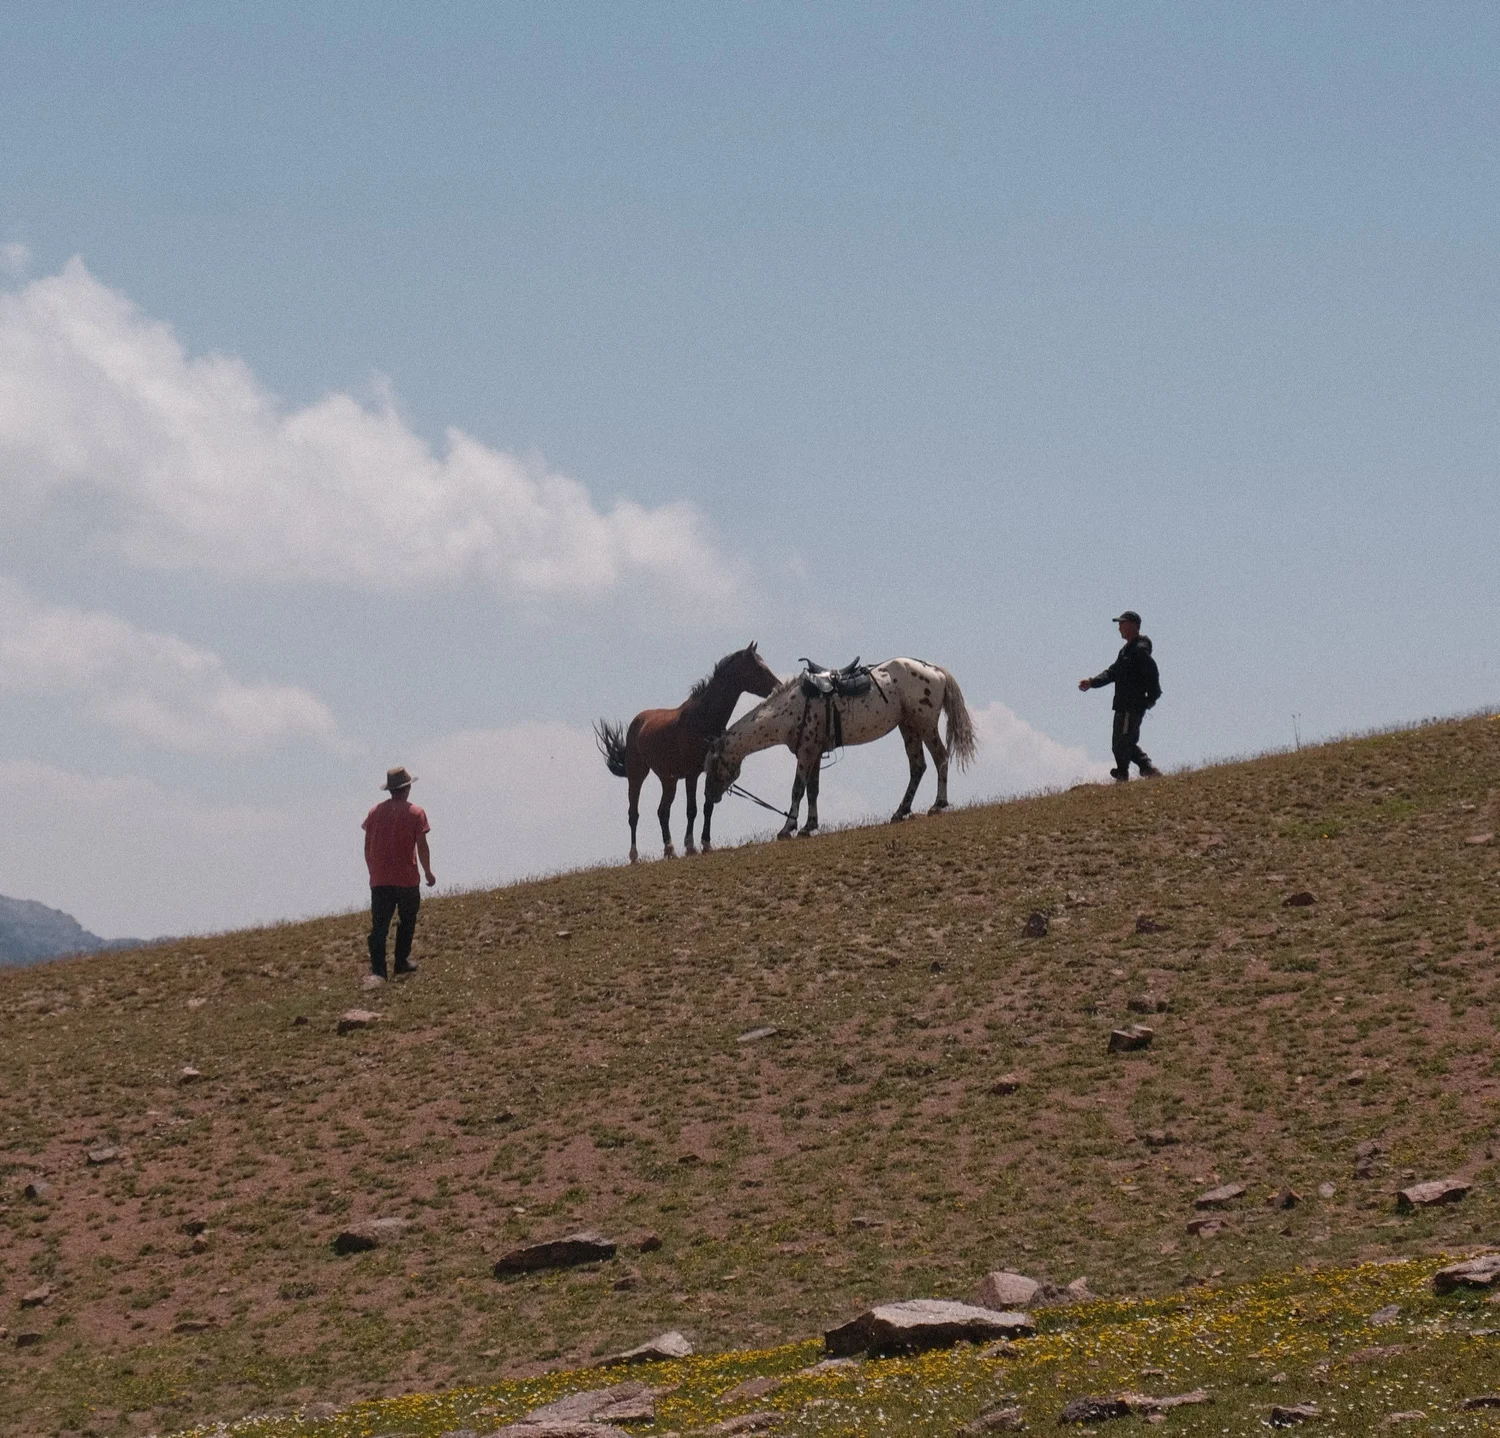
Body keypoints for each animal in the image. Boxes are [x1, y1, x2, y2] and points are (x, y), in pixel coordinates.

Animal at [595, 642, 781, 862]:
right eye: (758, 667)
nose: (778, 686)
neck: (703, 719)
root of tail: (637, 723)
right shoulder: (692, 775)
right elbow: (691, 809)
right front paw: (691, 846)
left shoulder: (709, 772)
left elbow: (707, 807)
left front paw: (706, 844)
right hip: (637, 776)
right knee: (634, 814)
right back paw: (634, 855)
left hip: (669, 780)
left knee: (663, 811)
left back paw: (670, 850)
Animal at [703, 657, 977, 839]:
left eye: (713, 765)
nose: (709, 797)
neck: (790, 708)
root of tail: (936, 670)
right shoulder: (813, 753)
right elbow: (812, 791)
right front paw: (808, 826)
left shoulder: (806, 753)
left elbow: (797, 790)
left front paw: (787, 829)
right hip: (908, 727)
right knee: (918, 766)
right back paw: (900, 812)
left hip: (925, 725)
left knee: (940, 758)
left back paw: (938, 805)